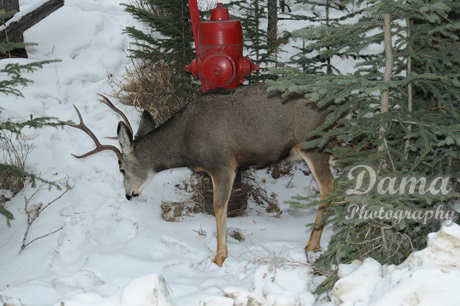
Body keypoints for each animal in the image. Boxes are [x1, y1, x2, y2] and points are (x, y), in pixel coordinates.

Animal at [63, 83, 334, 266]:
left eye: (121, 167)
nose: (129, 195)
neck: (185, 143)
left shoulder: (223, 164)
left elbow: (218, 207)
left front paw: (219, 258)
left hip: (314, 146)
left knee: (329, 186)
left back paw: (311, 245)